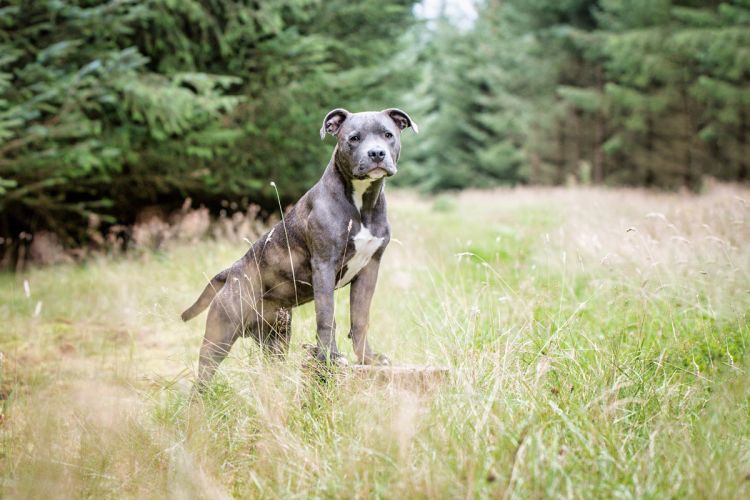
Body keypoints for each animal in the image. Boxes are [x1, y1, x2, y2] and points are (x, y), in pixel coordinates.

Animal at [181, 106, 418, 386]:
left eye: (387, 135)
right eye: (354, 138)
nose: (377, 153)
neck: (362, 201)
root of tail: (231, 272)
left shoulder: (369, 269)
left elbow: (360, 319)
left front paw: (367, 359)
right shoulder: (324, 266)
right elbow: (327, 318)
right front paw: (329, 358)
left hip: (276, 338)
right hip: (220, 335)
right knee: (203, 379)